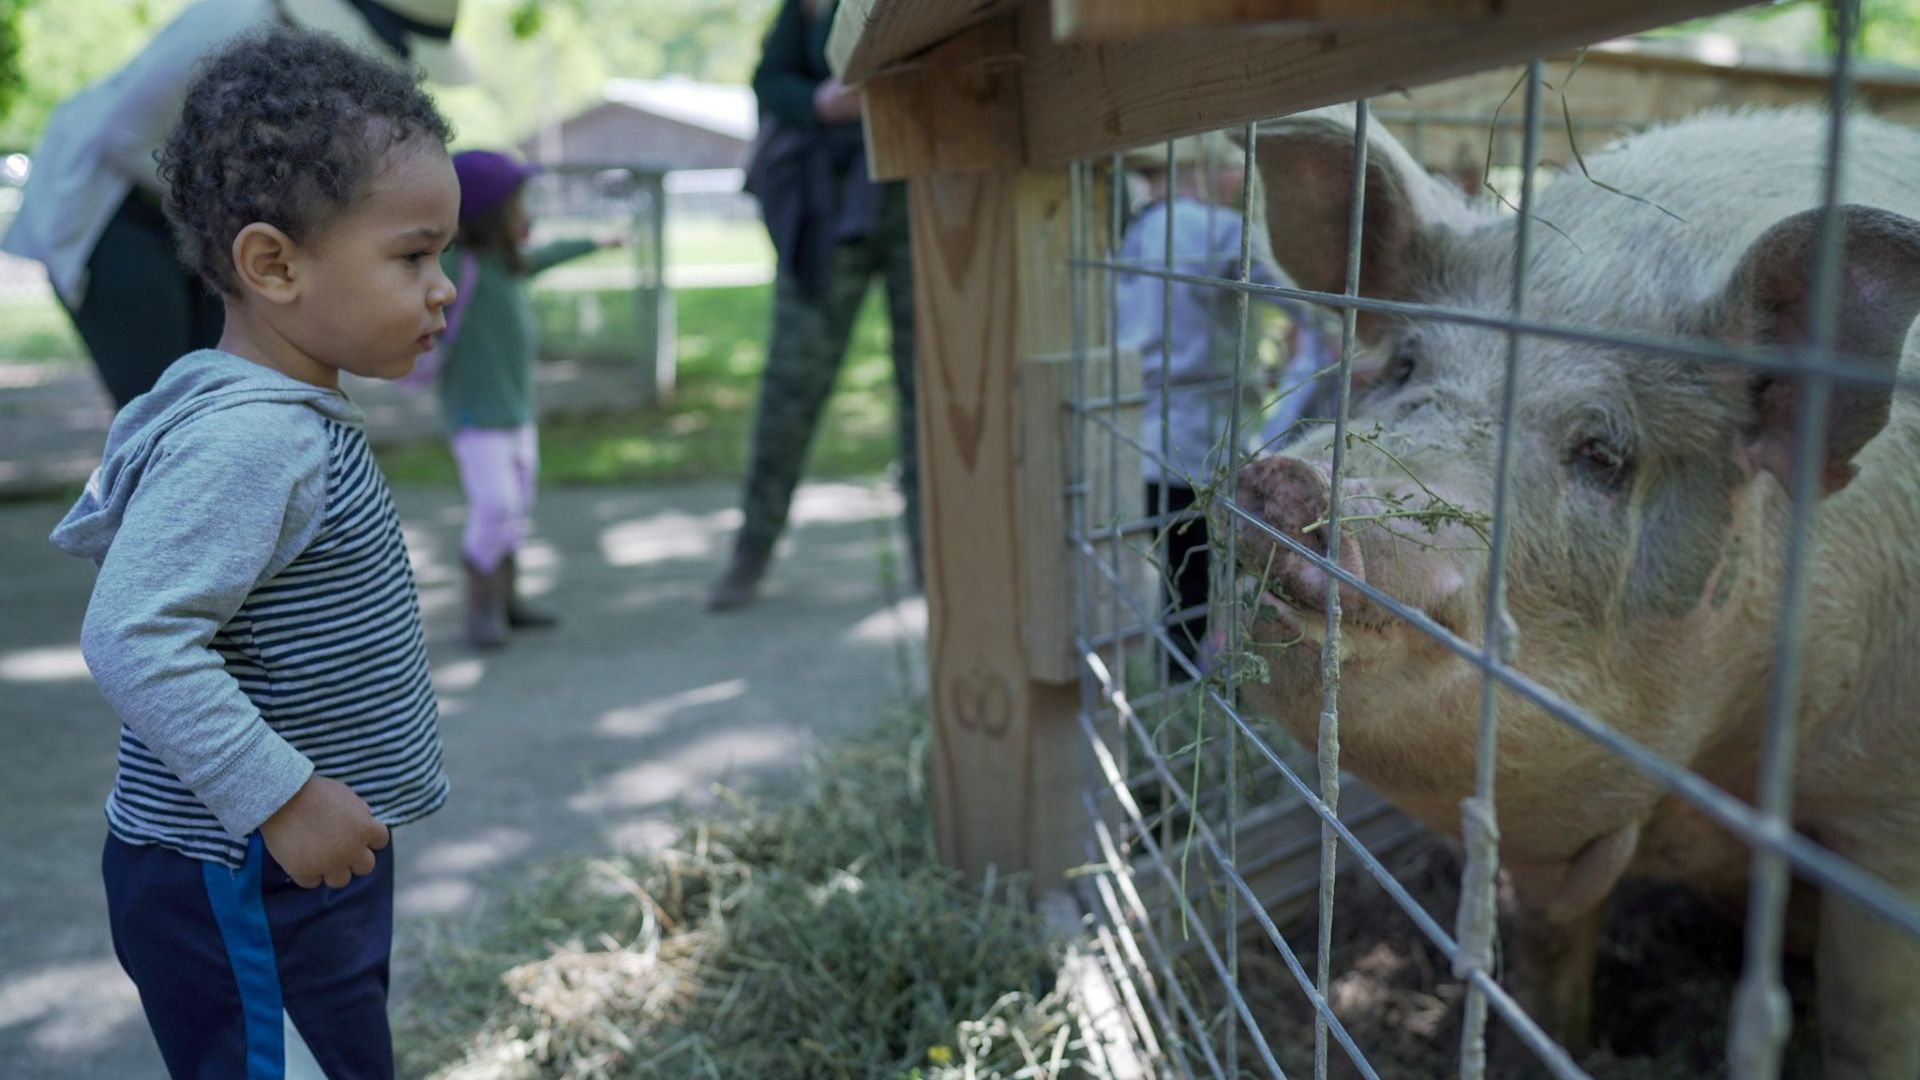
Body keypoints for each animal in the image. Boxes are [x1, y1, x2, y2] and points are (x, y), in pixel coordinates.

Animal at [1221, 102, 1920, 1076]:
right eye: (1404, 368)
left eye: (1603, 455)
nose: (1294, 482)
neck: (1700, 778)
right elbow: (1547, 951)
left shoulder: (1886, 817)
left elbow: (1867, 1021)